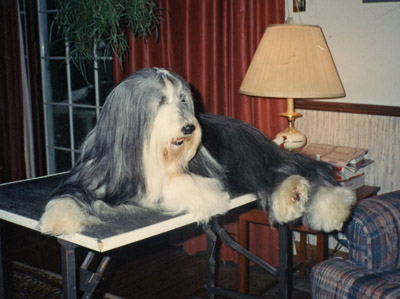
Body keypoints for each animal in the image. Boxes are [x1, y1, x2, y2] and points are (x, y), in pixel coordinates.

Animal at [39, 67, 354, 237]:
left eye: (182, 99)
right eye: (161, 101)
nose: (189, 128)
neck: (149, 152)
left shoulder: (201, 175)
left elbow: (180, 185)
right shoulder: (92, 175)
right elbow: (68, 195)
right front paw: (56, 220)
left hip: (248, 157)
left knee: (298, 169)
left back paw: (322, 206)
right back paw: (294, 198)